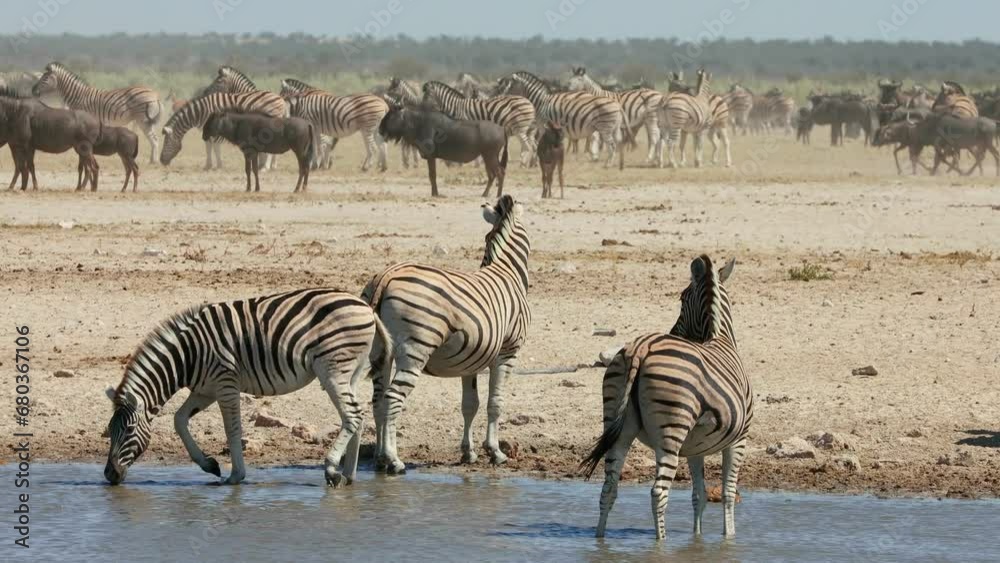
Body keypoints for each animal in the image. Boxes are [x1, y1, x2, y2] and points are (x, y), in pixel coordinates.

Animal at [31, 63, 162, 165]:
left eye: (45, 78)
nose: (33, 91)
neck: (78, 96)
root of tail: (155, 94)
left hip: (142, 119)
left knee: (154, 139)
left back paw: (153, 161)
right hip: (147, 121)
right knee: (154, 139)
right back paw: (152, 160)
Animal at [102, 288, 394, 486]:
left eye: (128, 430)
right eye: (109, 430)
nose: (108, 475)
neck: (188, 355)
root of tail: (366, 307)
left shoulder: (225, 384)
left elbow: (233, 430)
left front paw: (235, 476)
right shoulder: (205, 389)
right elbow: (179, 419)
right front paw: (209, 464)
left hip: (332, 368)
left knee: (352, 414)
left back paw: (332, 468)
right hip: (350, 372)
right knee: (356, 416)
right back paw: (349, 474)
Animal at [158, 91, 288, 166]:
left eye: (166, 143)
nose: (161, 161)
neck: (201, 112)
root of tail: (280, 98)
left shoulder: (214, 128)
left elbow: (215, 147)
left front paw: (218, 165)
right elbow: (209, 147)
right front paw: (208, 165)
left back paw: (265, 167)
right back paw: (270, 166)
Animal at [362, 196, 532, 478]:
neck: (507, 271)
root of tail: (388, 274)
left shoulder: (471, 361)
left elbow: (470, 404)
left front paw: (468, 453)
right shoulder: (508, 352)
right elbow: (495, 403)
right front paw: (495, 452)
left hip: (380, 352)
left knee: (378, 401)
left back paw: (378, 459)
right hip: (416, 349)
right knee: (393, 399)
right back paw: (393, 460)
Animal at [580, 256, 752, 540]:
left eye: (681, 300)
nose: (674, 331)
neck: (721, 338)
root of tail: (641, 348)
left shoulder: (696, 447)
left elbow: (699, 496)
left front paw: (697, 538)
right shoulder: (739, 440)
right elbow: (727, 493)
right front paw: (729, 537)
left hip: (617, 426)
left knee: (608, 487)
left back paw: (600, 538)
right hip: (672, 430)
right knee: (658, 493)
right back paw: (661, 541)